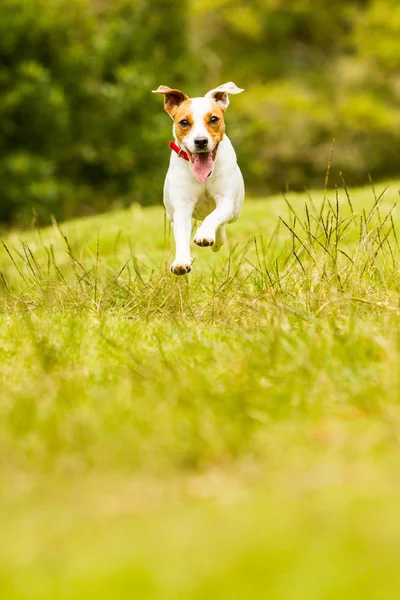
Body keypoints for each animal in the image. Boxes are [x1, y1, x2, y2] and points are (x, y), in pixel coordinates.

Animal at [152, 81, 244, 276]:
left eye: (214, 119)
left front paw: (204, 234)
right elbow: (181, 236)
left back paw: (215, 240)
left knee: (221, 224)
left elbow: (215, 216)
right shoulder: (182, 208)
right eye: (184, 122)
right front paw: (181, 261)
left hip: (236, 210)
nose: (200, 141)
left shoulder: (226, 200)